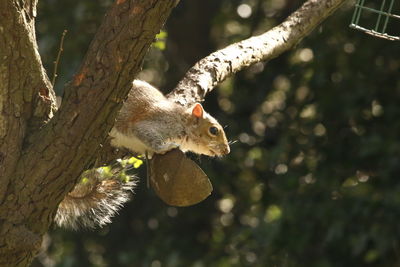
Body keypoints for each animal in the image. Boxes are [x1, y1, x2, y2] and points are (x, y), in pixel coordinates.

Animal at [56, 80, 231, 230]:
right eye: (213, 130)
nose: (226, 151)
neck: (182, 122)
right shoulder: (155, 123)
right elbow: (145, 134)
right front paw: (165, 148)